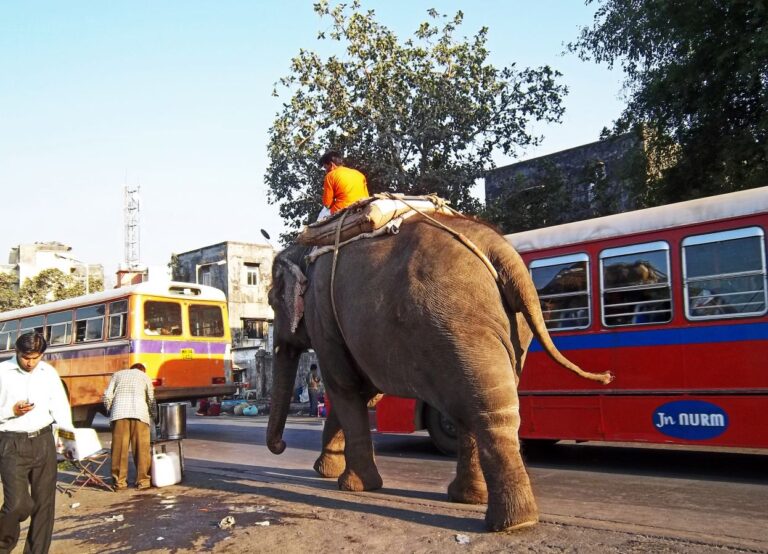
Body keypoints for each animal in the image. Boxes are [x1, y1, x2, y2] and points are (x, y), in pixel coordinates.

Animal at [266, 211, 612, 532]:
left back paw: (508, 522)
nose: (280, 447)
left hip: (458, 323)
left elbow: (344, 389)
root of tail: (502, 252)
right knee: (482, 406)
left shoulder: (323, 317)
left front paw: (349, 485)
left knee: (477, 408)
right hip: (503, 332)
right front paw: (326, 471)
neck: (304, 251)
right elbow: (359, 392)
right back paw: (483, 505)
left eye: (271, 301)